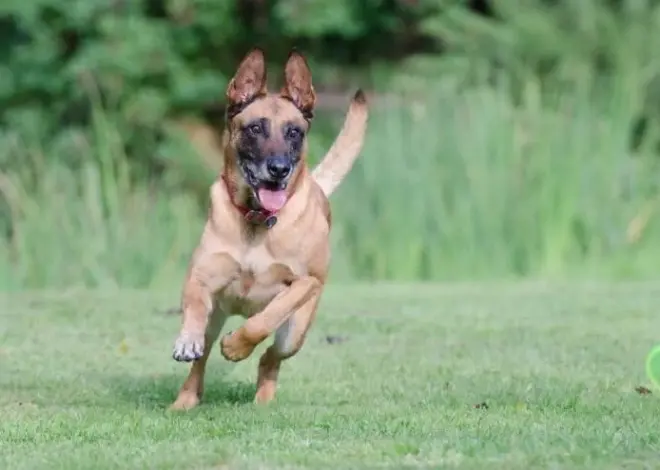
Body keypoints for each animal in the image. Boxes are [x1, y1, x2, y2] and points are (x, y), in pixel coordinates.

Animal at [169, 46, 366, 408]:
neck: (257, 221)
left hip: (296, 332)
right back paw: (185, 400)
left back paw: (262, 397)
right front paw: (187, 340)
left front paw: (235, 347)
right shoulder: (202, 275)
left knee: (270, 356)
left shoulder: (305, 284)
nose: (279, 169)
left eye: (294, 132)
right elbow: (193, 306)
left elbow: (265, 319)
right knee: (202, 361)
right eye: (255, 128)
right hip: (217, 317)